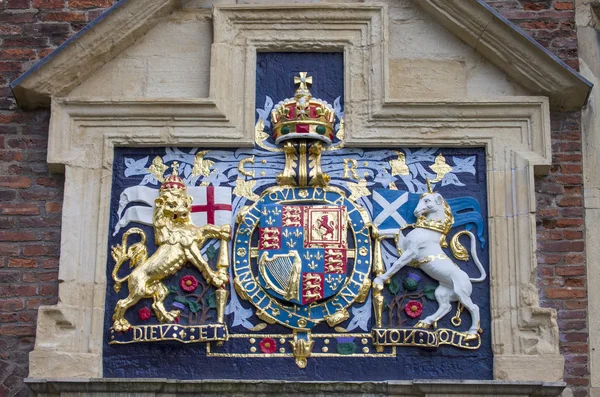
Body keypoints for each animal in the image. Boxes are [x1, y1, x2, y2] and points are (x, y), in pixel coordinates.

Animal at [109, 177, 231, 332]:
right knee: (121, 303)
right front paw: (217, 278)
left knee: (155, 303)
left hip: (158, 288)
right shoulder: (189, 246)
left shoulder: (196, 236)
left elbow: (208, 227)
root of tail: (130, 275)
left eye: (185, 203)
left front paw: (224, 230)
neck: (177, 225)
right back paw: (121, 325)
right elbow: (202, 262)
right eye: (172, 204)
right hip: (138, 290)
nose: (184, 213)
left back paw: (168, 317)